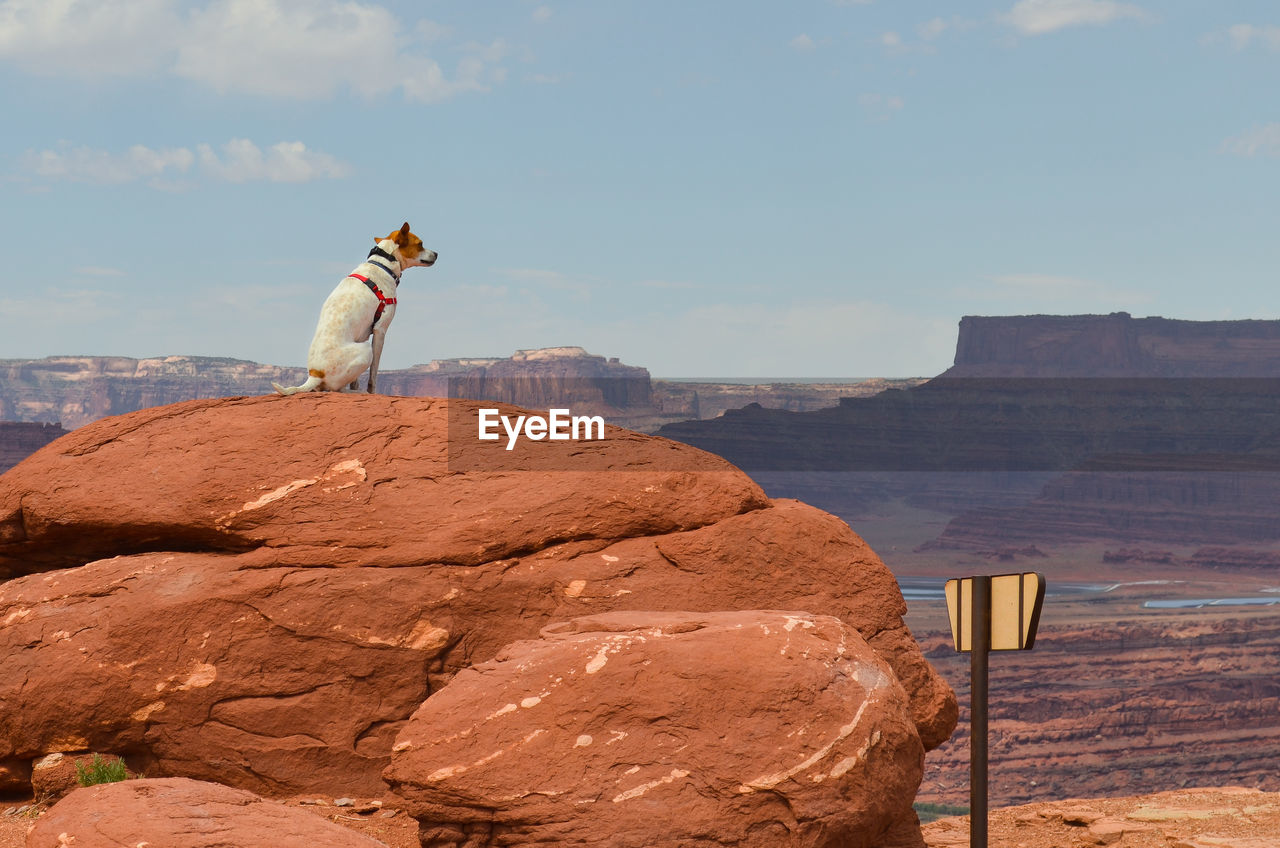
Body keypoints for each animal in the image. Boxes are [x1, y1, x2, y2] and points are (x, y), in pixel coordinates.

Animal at [272, 224, 437, 399]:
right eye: (420, 244)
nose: (437, 254)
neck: (382, 264)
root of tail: (315, 374)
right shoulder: (380, 330)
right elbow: (373, 373)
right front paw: (371, 391)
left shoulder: (363, 335)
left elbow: (356, 378)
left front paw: (356, 384)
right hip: (365, 350)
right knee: (338, 389)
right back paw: (357, 392)